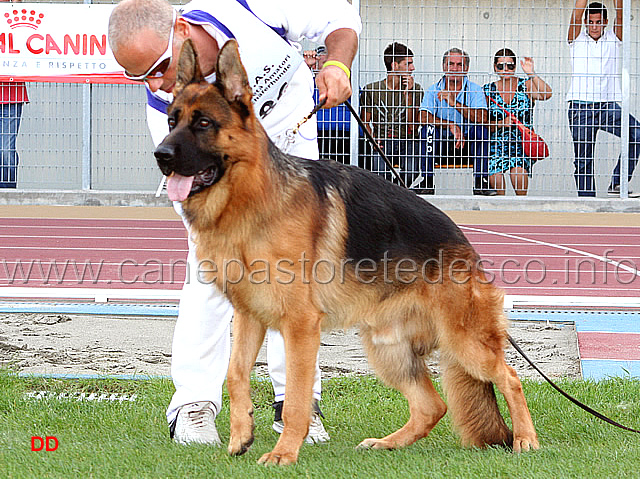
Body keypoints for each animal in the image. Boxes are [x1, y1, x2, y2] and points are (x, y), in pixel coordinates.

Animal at [155, 39, 540, 466]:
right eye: (172, 121)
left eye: (204, 123)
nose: (161, 155)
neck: (251, 199)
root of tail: (465, 246)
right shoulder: (249, 316)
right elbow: (235, 375)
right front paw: (241, 436)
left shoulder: (300, 326)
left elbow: (297, 397)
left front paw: (284, 452)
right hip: (388, 348)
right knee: (432, 406)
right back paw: (388, 444)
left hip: (464, 342)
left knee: (511, 377)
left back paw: (527, 440)